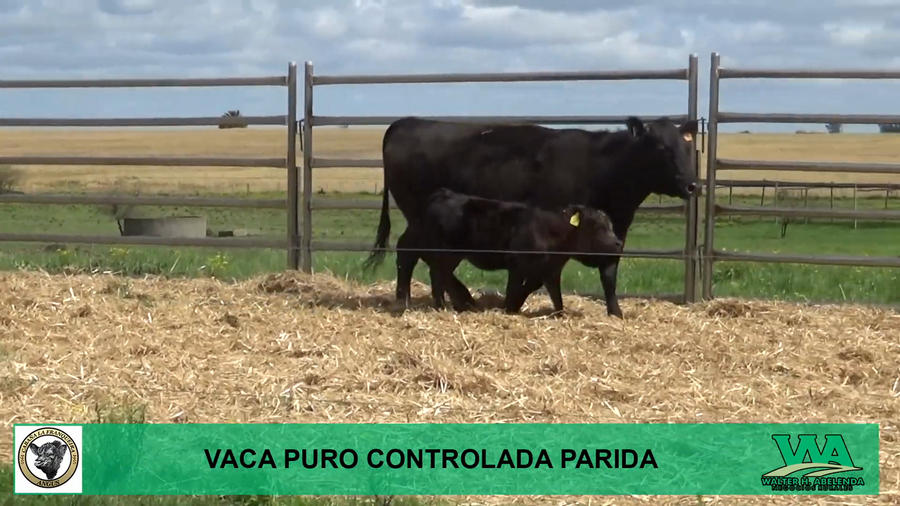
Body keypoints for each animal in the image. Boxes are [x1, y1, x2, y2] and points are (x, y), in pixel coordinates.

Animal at [420, 187, 624, 314]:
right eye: (597, 226)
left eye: (610, 225)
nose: (618, 243)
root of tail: (445, 193)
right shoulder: (517, 264)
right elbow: (515, 288)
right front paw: (509, 308)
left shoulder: (551, 269)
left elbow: (553, 294)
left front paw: (559, 314)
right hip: (448, 252)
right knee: (438, 275)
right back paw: (441, 306)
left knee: (441, 275)